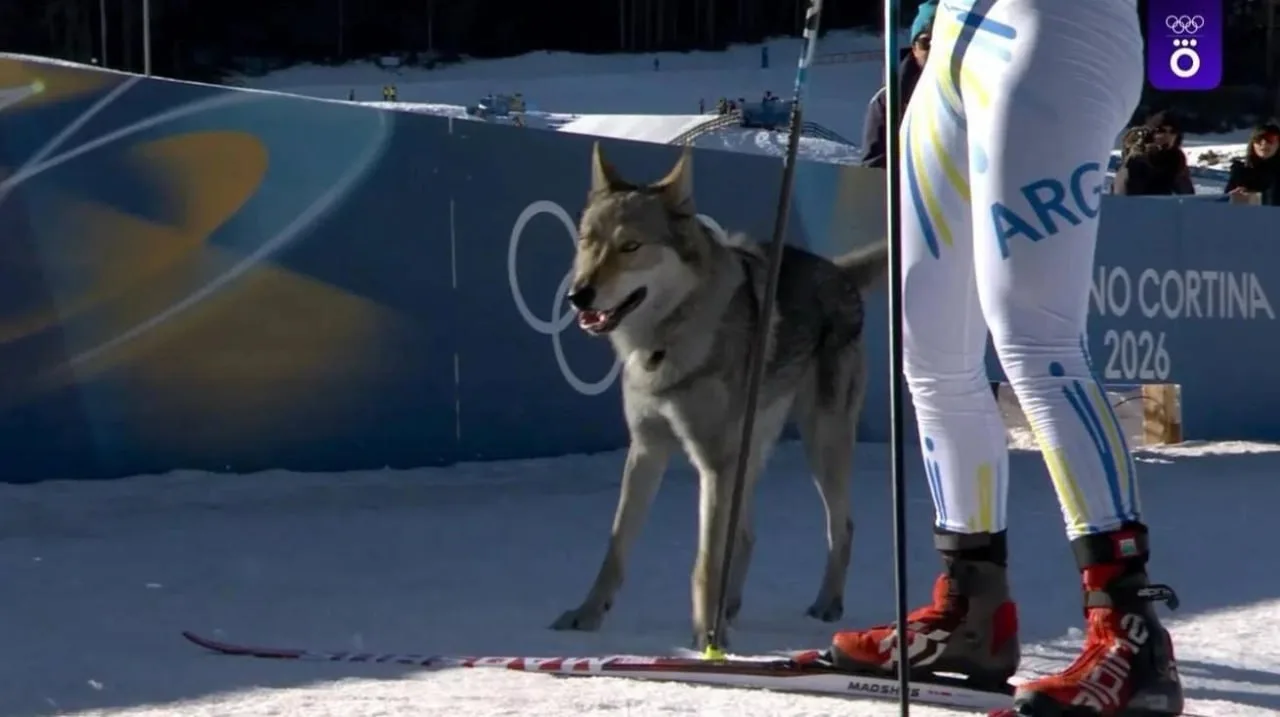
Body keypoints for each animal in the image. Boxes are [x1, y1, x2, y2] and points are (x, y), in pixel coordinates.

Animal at [549, 142, 888, 650]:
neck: (663, 342)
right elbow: (616, 547)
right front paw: (587, 615)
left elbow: (705, 563)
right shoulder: (647, 449)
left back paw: (825, 605)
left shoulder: (712, 463)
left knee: (842, 527)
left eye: (630, 247)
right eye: (589, 241)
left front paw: (706, 640)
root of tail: (838, 272)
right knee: (746, 536)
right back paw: (730, 609)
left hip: (818, 445)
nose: (578, 296)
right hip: (750, 453)